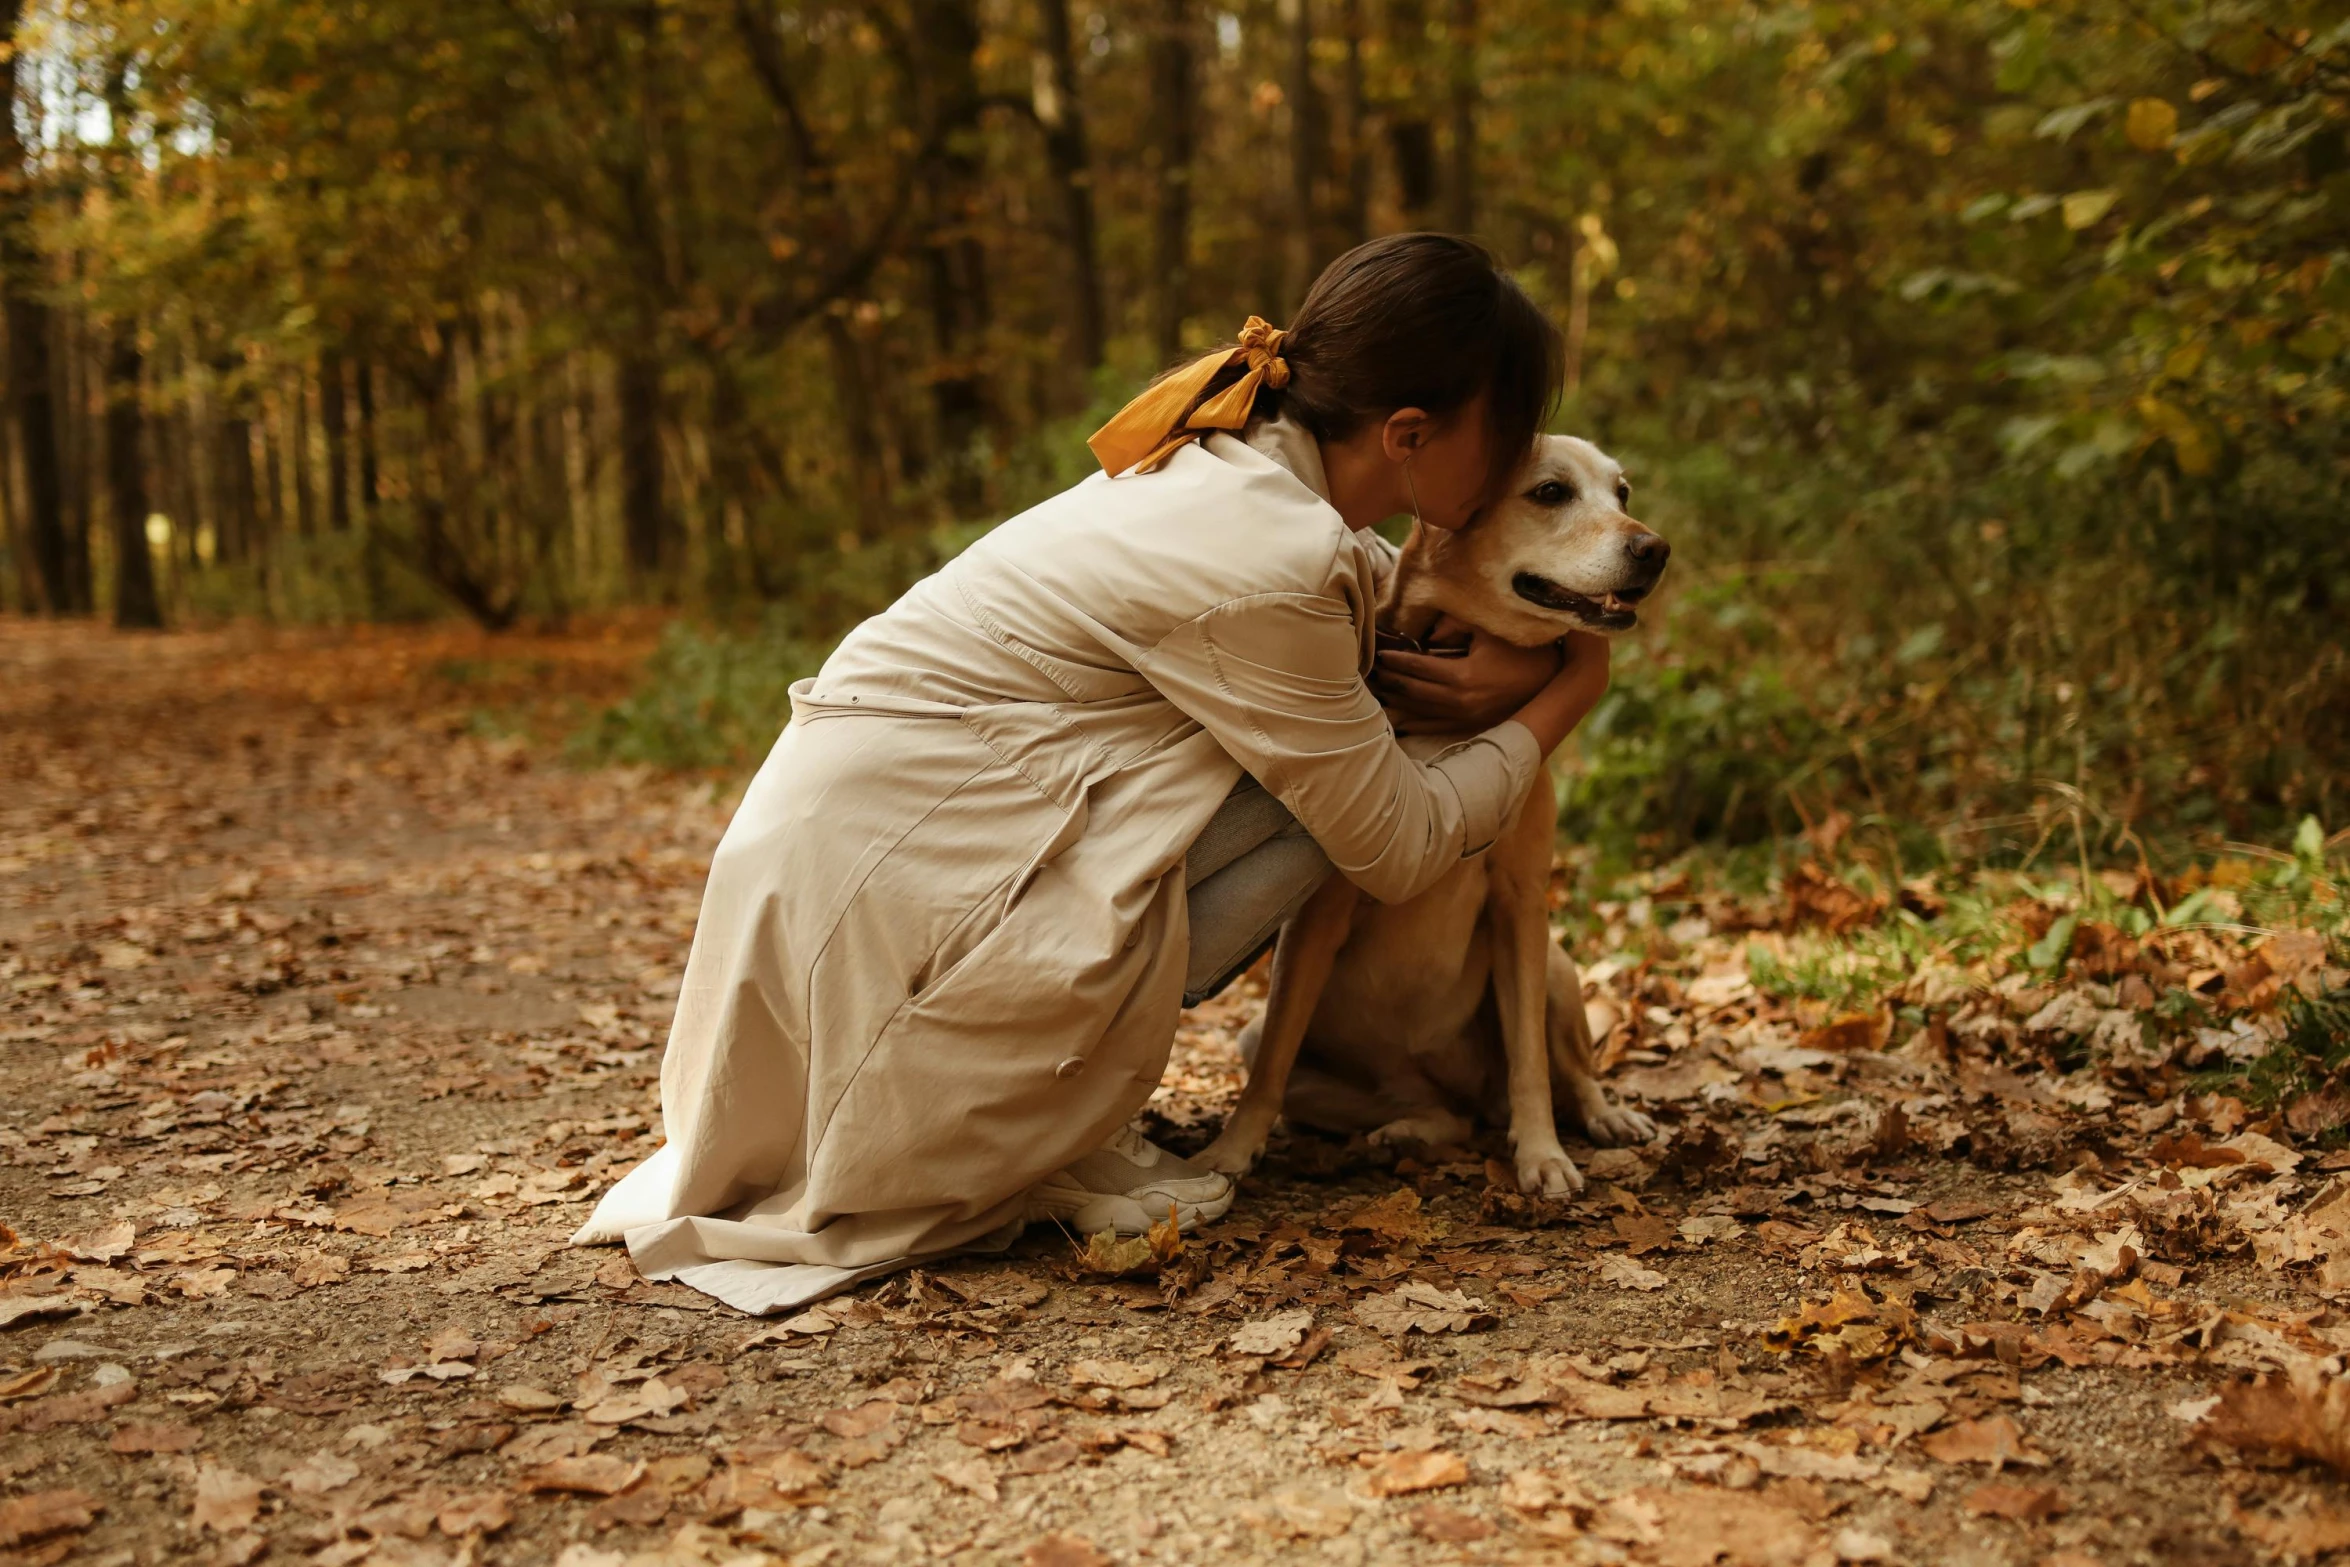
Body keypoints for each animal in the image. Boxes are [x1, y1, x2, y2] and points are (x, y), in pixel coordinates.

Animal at [1203, 434, 1682, 1193]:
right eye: (1551, 492)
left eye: (1623, 492)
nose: (1655, 549)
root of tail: (1465, 1095)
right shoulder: (1314, 920)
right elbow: (1273, 1061)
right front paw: (1230, 1151)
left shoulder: (1521, 904)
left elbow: (1530, 1061)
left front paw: (1542, 1154)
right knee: (1437, 1114)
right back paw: (1401, 1132)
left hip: (1554, 967)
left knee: (1568, 1072)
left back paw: (1605, 1117)